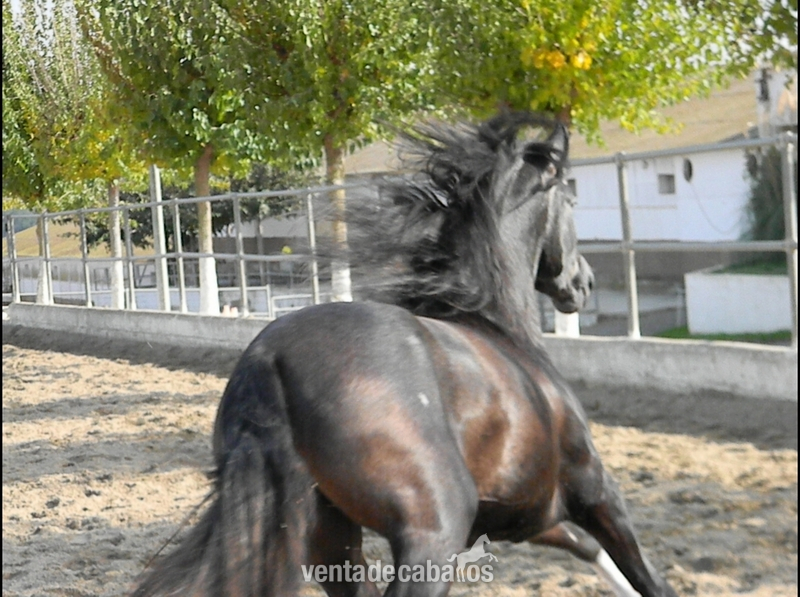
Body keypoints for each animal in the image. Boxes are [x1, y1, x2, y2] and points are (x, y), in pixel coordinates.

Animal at [130, 112, 677, 597]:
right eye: (570, 197)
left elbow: (589, 549)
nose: (583, 283)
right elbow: (643, 571)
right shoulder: (593, 487)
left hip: (328, 540)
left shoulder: (529, 515)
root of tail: (269, 362)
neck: (501, 326)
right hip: (432, 530)